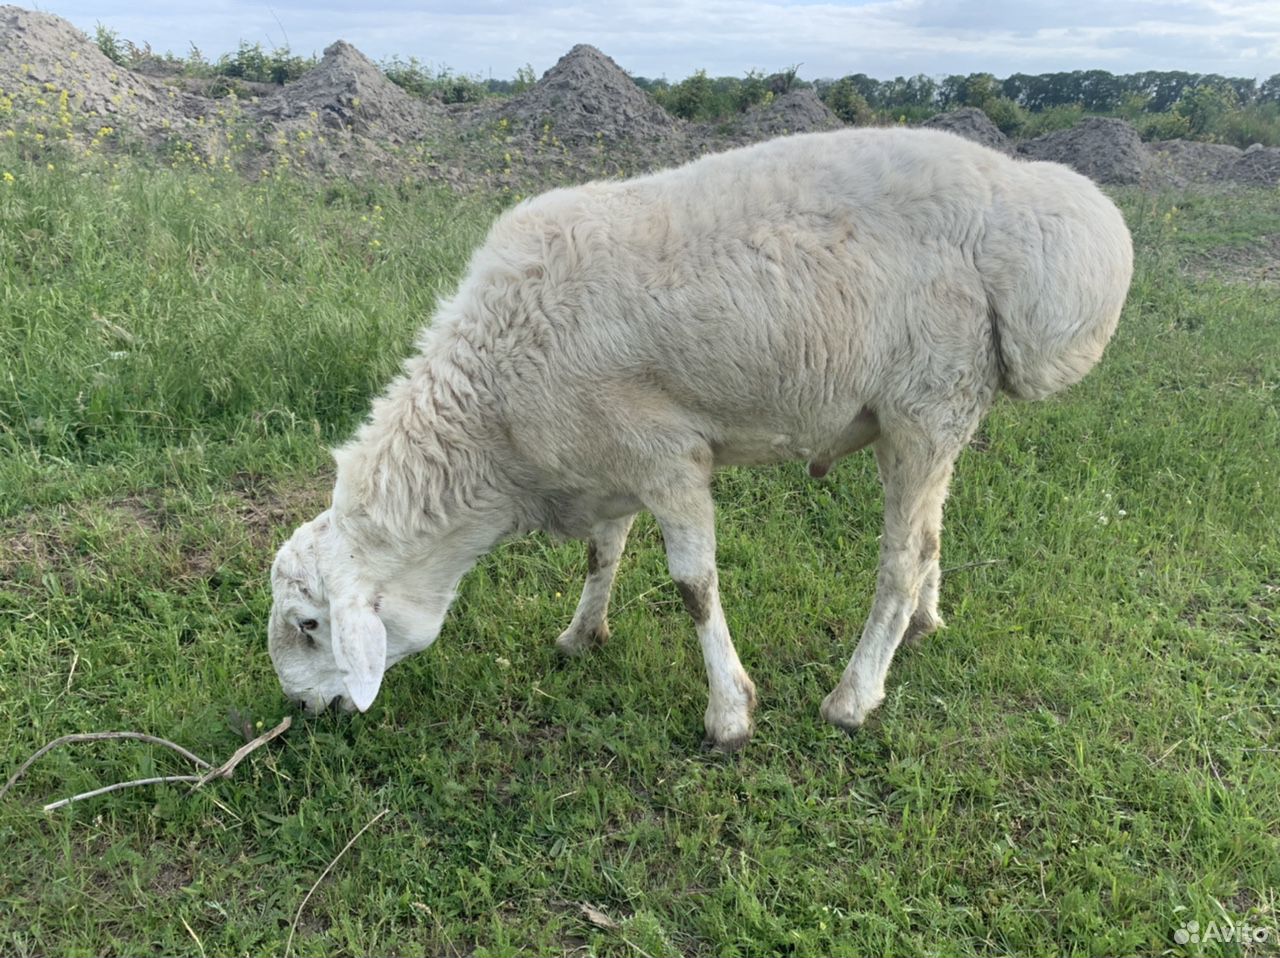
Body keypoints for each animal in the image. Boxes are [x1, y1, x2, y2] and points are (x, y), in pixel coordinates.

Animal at [267, 127, 1131, 753]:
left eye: (309, 626)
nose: (302, 711)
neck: (493, 425)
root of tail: (1029, 203)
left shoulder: (666, 455)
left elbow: (693, 585)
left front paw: (730, 715)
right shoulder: (606, 457)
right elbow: (603, 552)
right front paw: (582, 635)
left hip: (924, 396)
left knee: (903, 554)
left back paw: (854, 696)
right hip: (942, 406)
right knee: (934, 526)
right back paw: (921, 623)